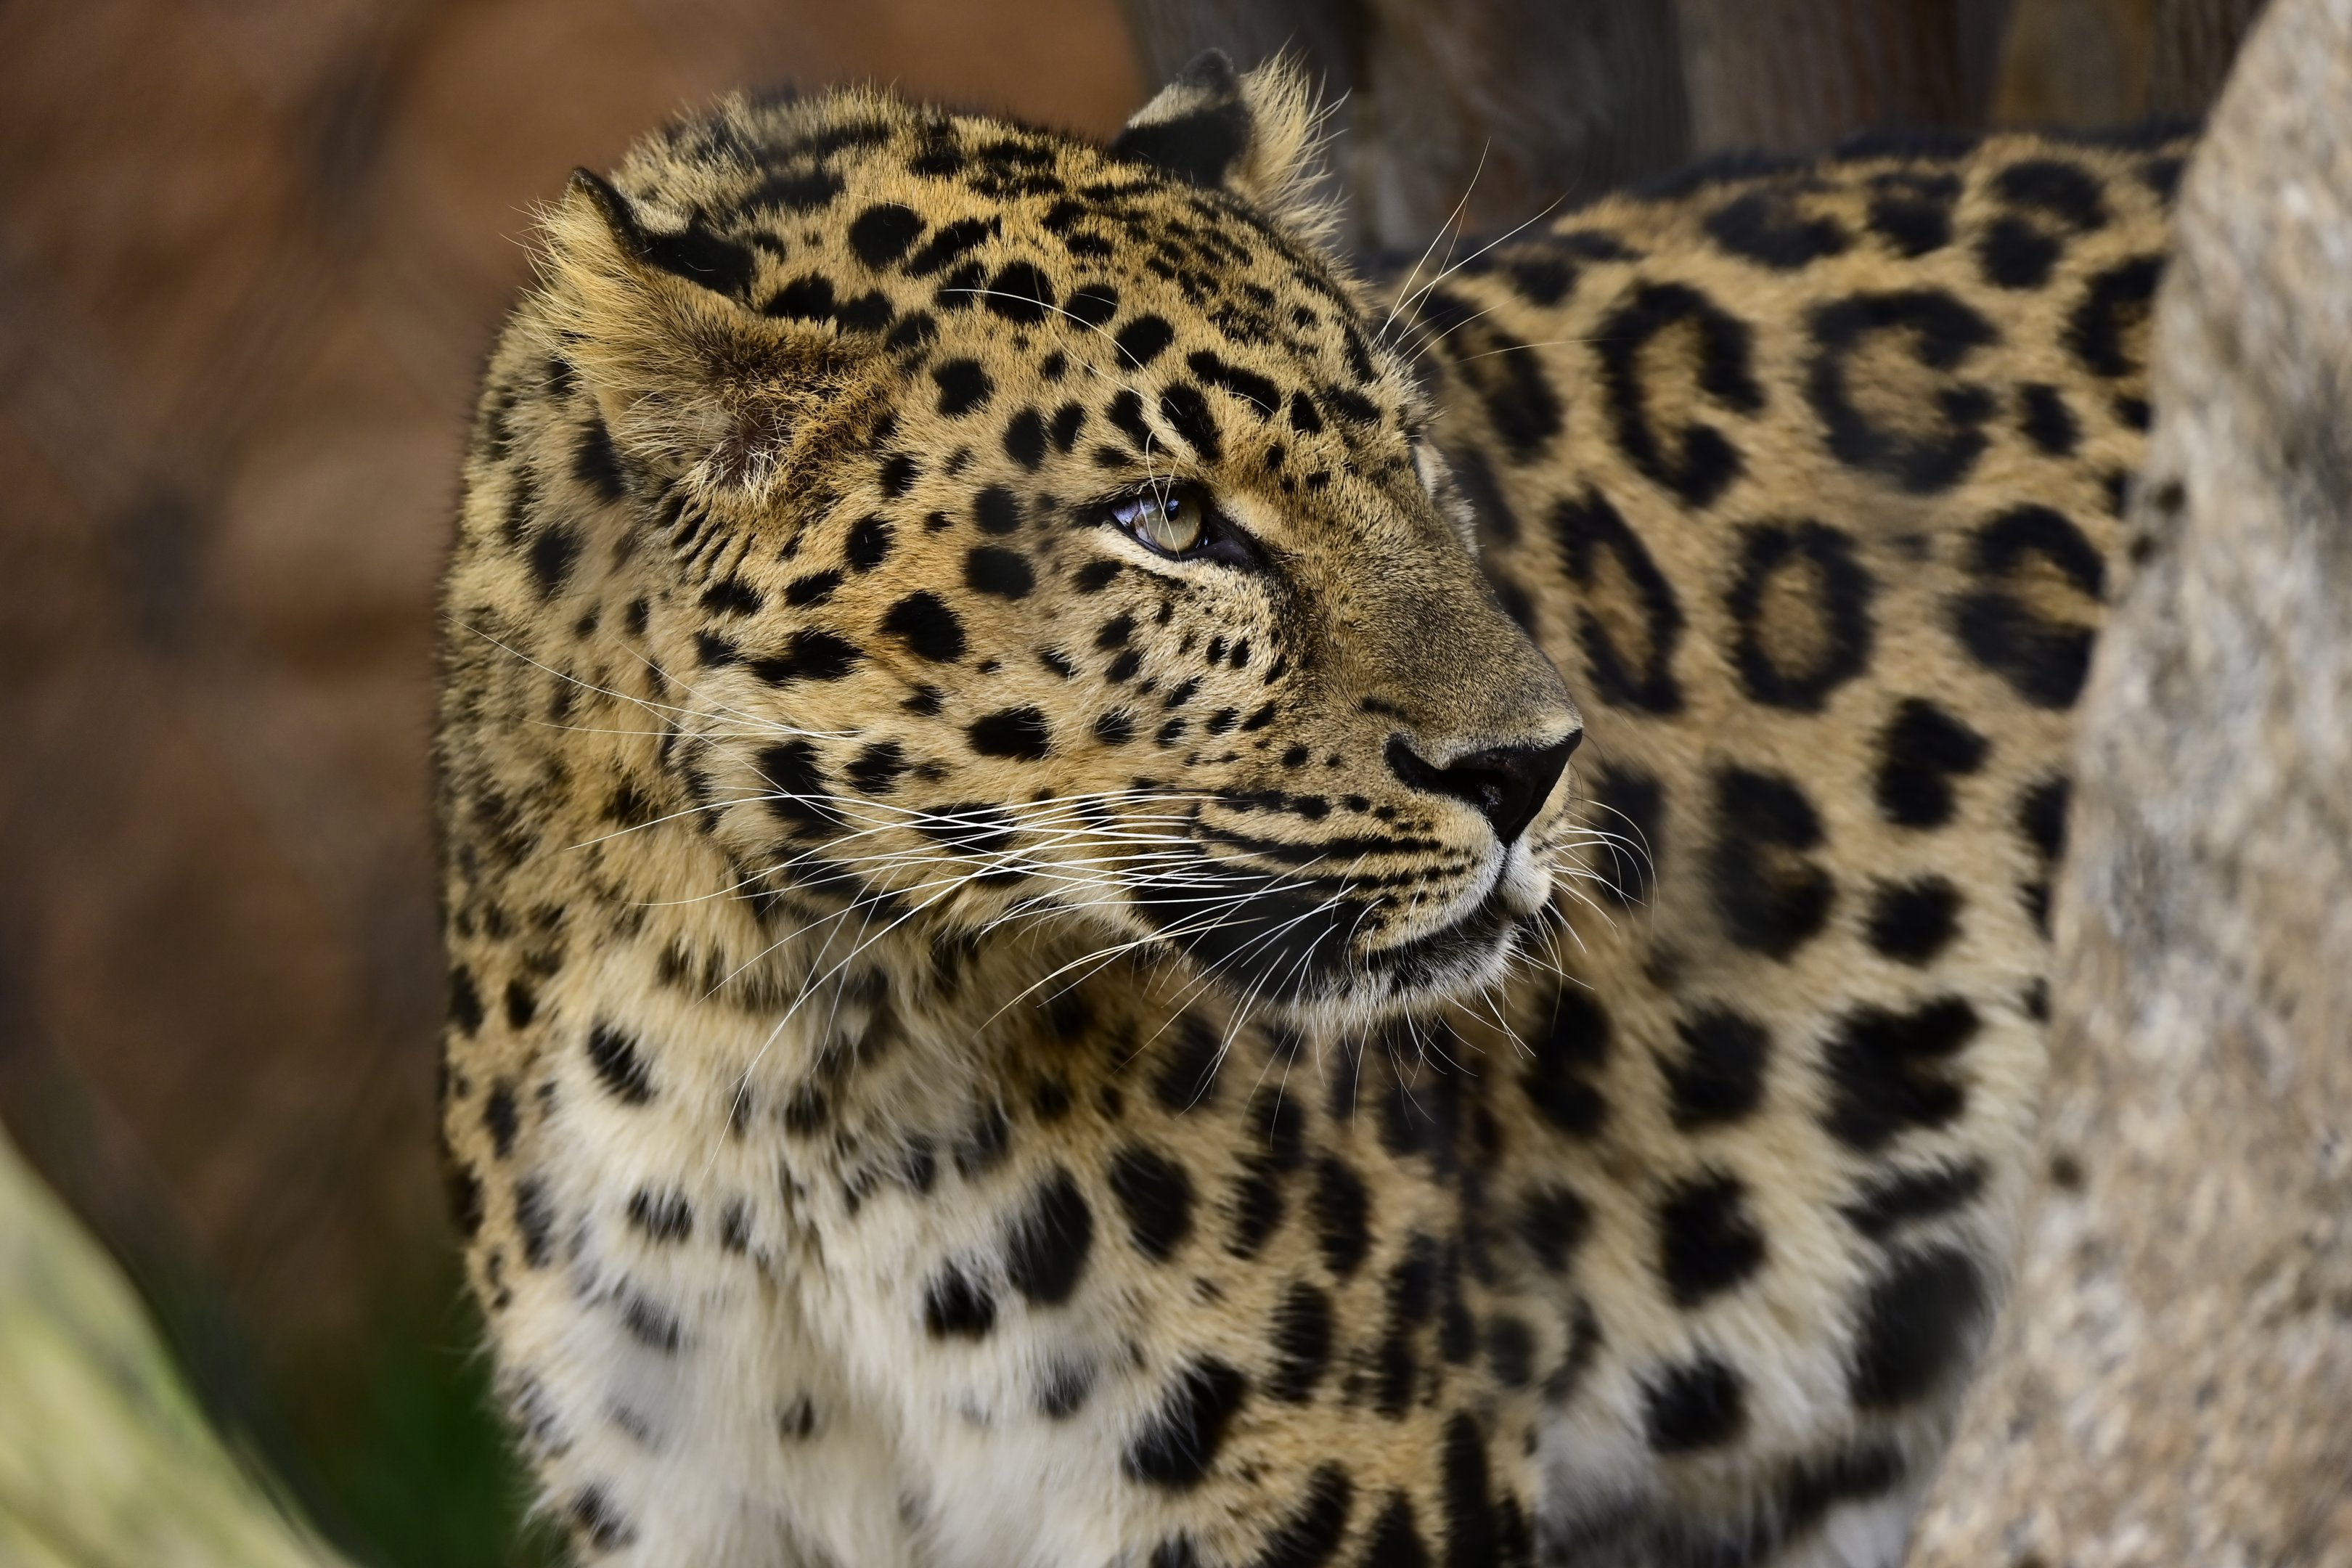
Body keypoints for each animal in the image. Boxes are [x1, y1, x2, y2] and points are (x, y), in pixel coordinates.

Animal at [433, 48, 2181, 1568]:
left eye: (1411, 462)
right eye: (1168, 520)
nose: (1532, 768)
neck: (777, 1042)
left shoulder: (1326, 1485)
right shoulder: (696, 1498)